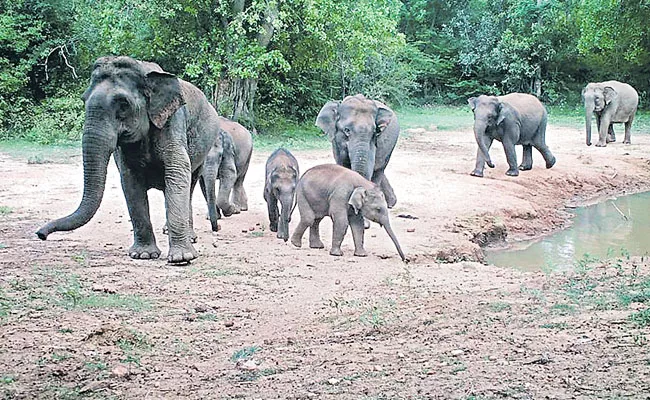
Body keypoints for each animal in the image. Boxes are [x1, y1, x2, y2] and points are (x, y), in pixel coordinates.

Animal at [36, 55, 219, 262]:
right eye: (84, 100)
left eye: (123, 105)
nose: (41, 234)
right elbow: (130, 182)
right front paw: (143, 255)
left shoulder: (173, 122)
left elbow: (177, 172)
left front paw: (181, 258)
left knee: (189, 184)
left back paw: (190, 239)